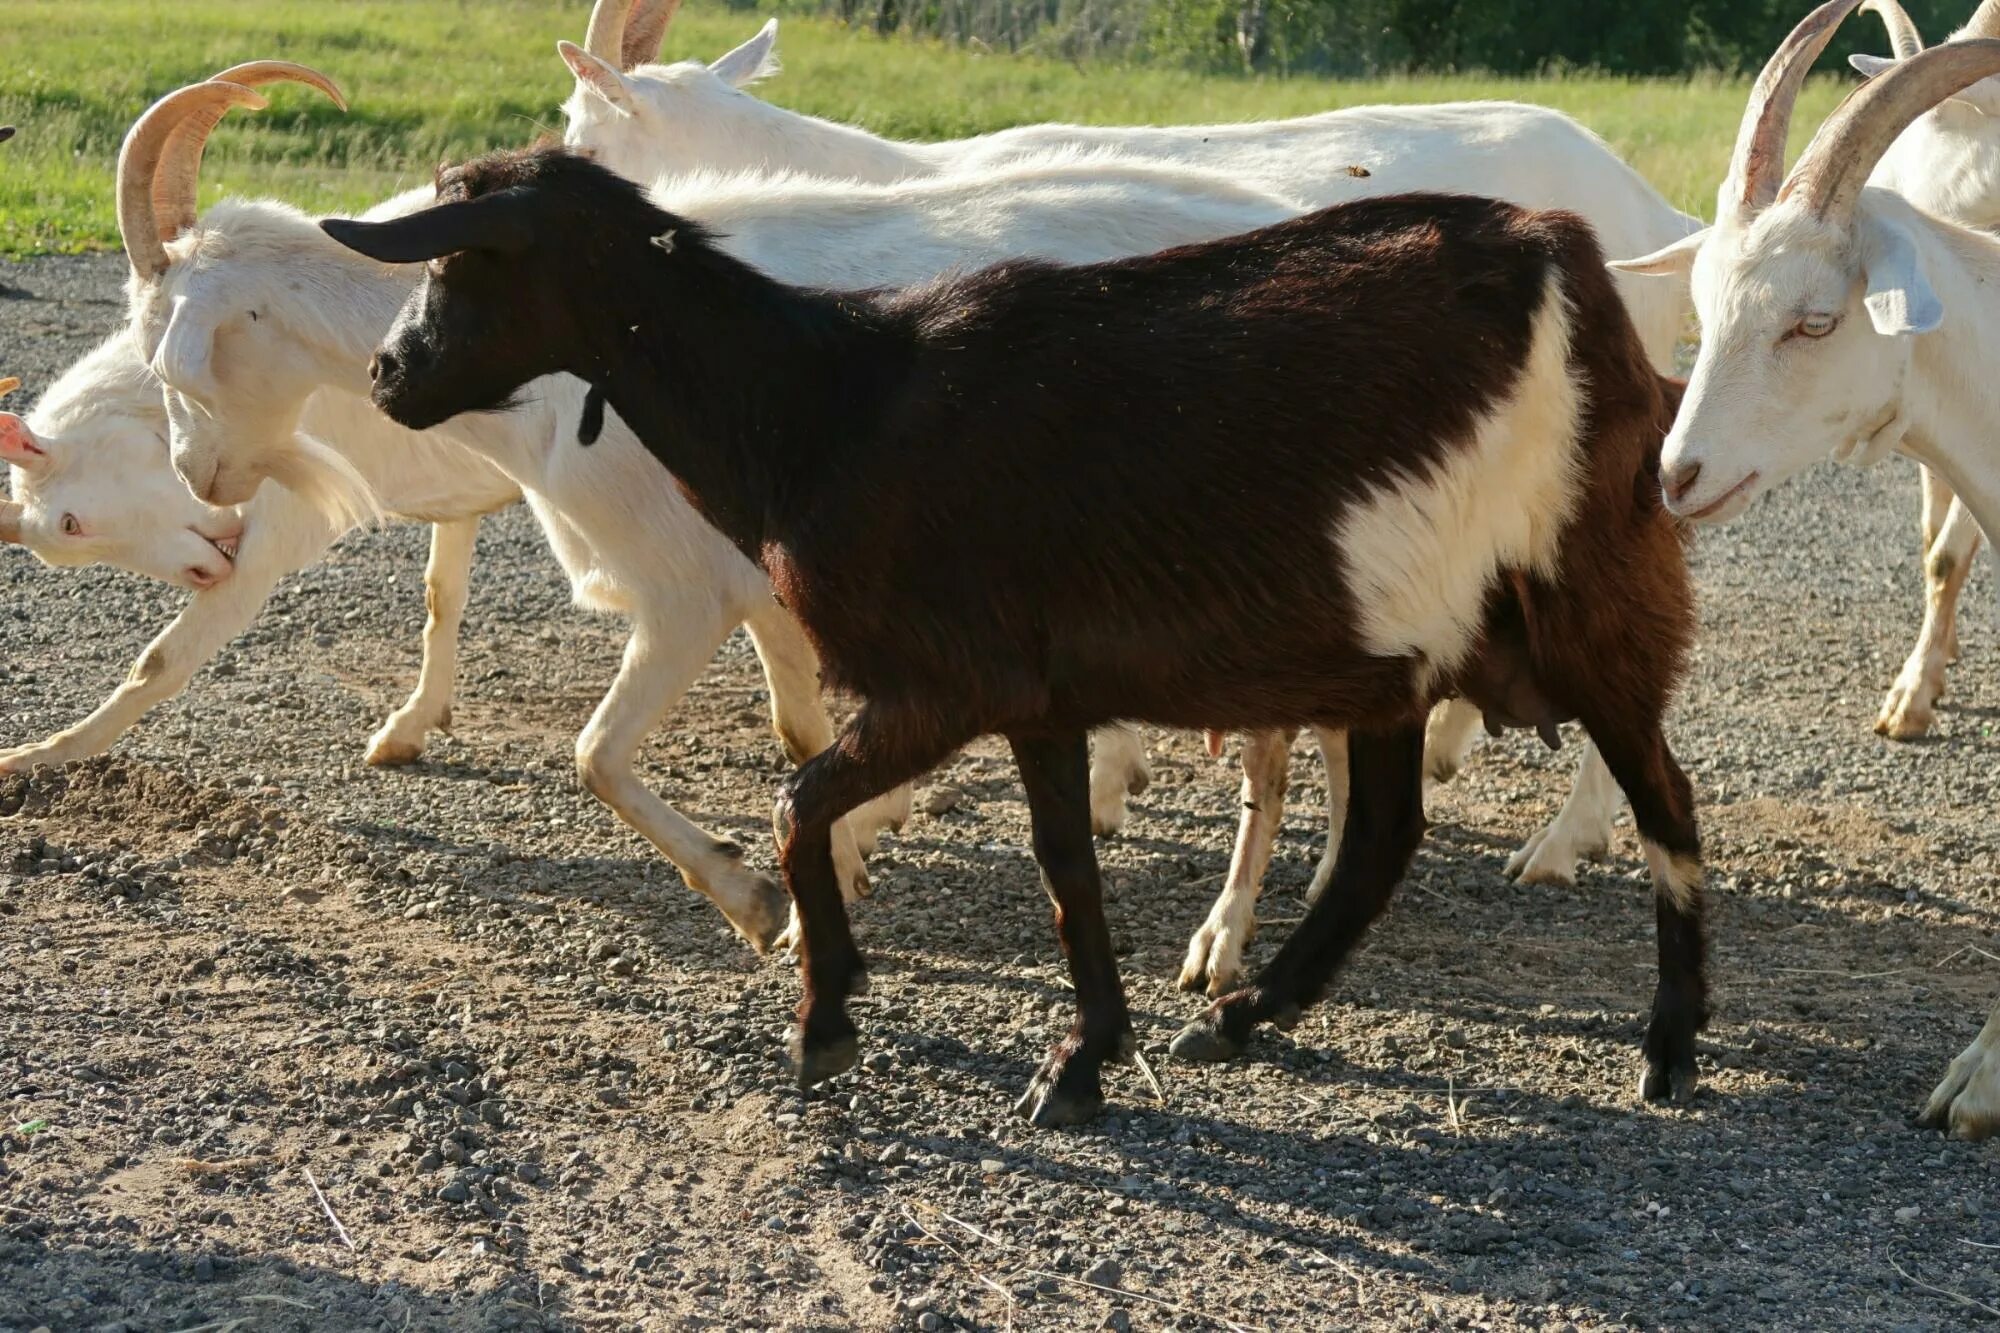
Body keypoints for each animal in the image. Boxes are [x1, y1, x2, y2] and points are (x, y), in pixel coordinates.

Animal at [327, 144, 1706, 1127]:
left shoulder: (943, 680)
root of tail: (1570, 266)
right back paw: (1240, 1017)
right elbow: (1061, 864)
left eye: (456, 265)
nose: (390, 378)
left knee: (1662, 799)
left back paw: (1669, 1046)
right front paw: (1085, 1057)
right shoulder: (1040, 693)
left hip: (1582, 596)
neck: (824, 401)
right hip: (1398, 643)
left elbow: (796, 806)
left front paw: (824, 1021)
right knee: (1379, 838)